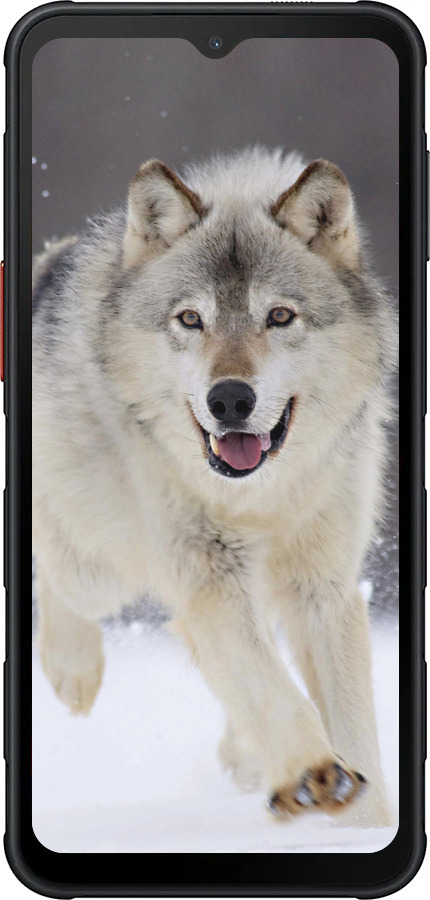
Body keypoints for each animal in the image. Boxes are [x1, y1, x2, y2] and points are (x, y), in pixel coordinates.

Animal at [33, 147, 395, 826]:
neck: (259, 498)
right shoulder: (208, 572)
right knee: (59, 575)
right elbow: (271, 685)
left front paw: (366, 823)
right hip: (102, 569)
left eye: (278, 316)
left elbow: (353, 725)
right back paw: (74, 669)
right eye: (190, 319)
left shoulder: (323, 586)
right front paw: (313, 772)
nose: (229, 399)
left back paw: (247, 757)